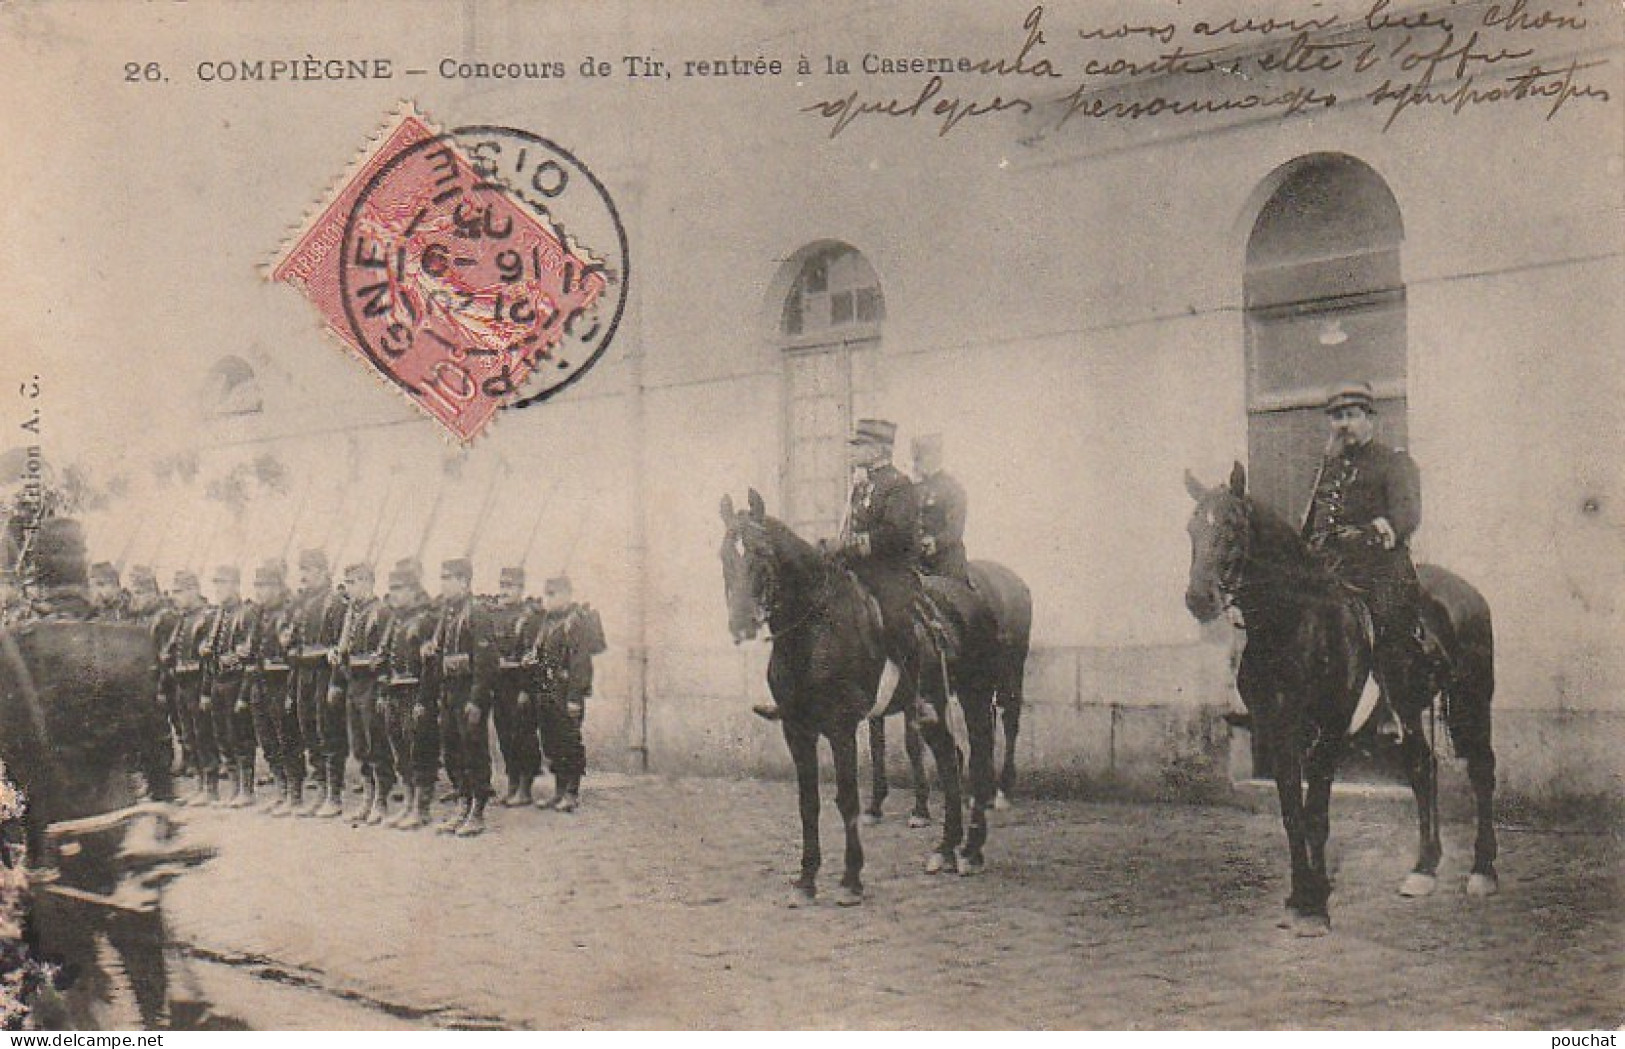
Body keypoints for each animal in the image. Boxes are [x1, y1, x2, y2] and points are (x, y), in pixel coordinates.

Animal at [721, 490, 1001, 909]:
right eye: (724, 554)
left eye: (761, 552)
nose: (741, 624)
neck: (813, 629)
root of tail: (972, 595)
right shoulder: (797, 729)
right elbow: (808, 803)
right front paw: (806, 880)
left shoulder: (841, 728)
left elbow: (848, 800)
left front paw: (851, 879)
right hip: (933, 707)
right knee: (950, 758)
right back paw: (945, 850)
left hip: (975, 697)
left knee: (979, 764)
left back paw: (971, 852)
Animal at [1183, 467, 1495, 935]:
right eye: (1191, 529)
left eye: (1233, 526)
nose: (1199, 599)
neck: (1295, 623)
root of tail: (1467, 592)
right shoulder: (1279, 729)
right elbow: (1292, 813)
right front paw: (1300, 895)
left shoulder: (1330, 726)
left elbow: (1315, 813)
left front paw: (1315, 905)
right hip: (1408, 705)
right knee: (1423, 767)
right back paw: (1424, 868)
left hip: (1470, 698)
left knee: (1481, 771)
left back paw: (1482, 871)